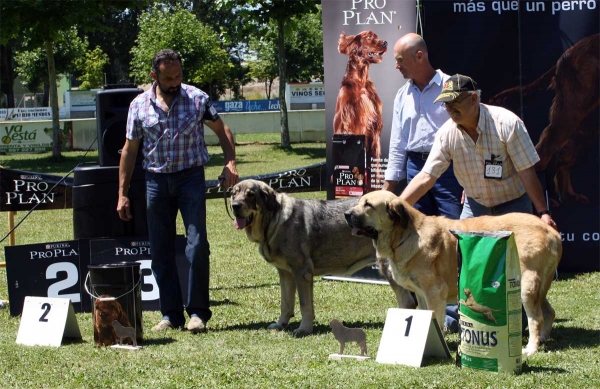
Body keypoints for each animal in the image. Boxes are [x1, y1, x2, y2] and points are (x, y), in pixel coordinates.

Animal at [227, 180, 414, 334]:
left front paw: (304, 329)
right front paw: (281, 324)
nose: (235, 205)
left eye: (251, 194)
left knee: (407, 301)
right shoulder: (286, 273)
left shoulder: (301, 272)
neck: (275, 220)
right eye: (233, 193)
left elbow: (304, 305)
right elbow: (286, 303)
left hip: (389, 269)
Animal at [344, 189, 564, 356]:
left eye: (368, 205)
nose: (346, 214)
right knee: (548, 311)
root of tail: (550, 230)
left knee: (536, 318)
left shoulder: (434, 292)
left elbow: (436, 318)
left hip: (526, 286)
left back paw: (531, 348)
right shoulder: (421, 293)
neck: (405, 235)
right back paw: (543, 338)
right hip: (536, 286)